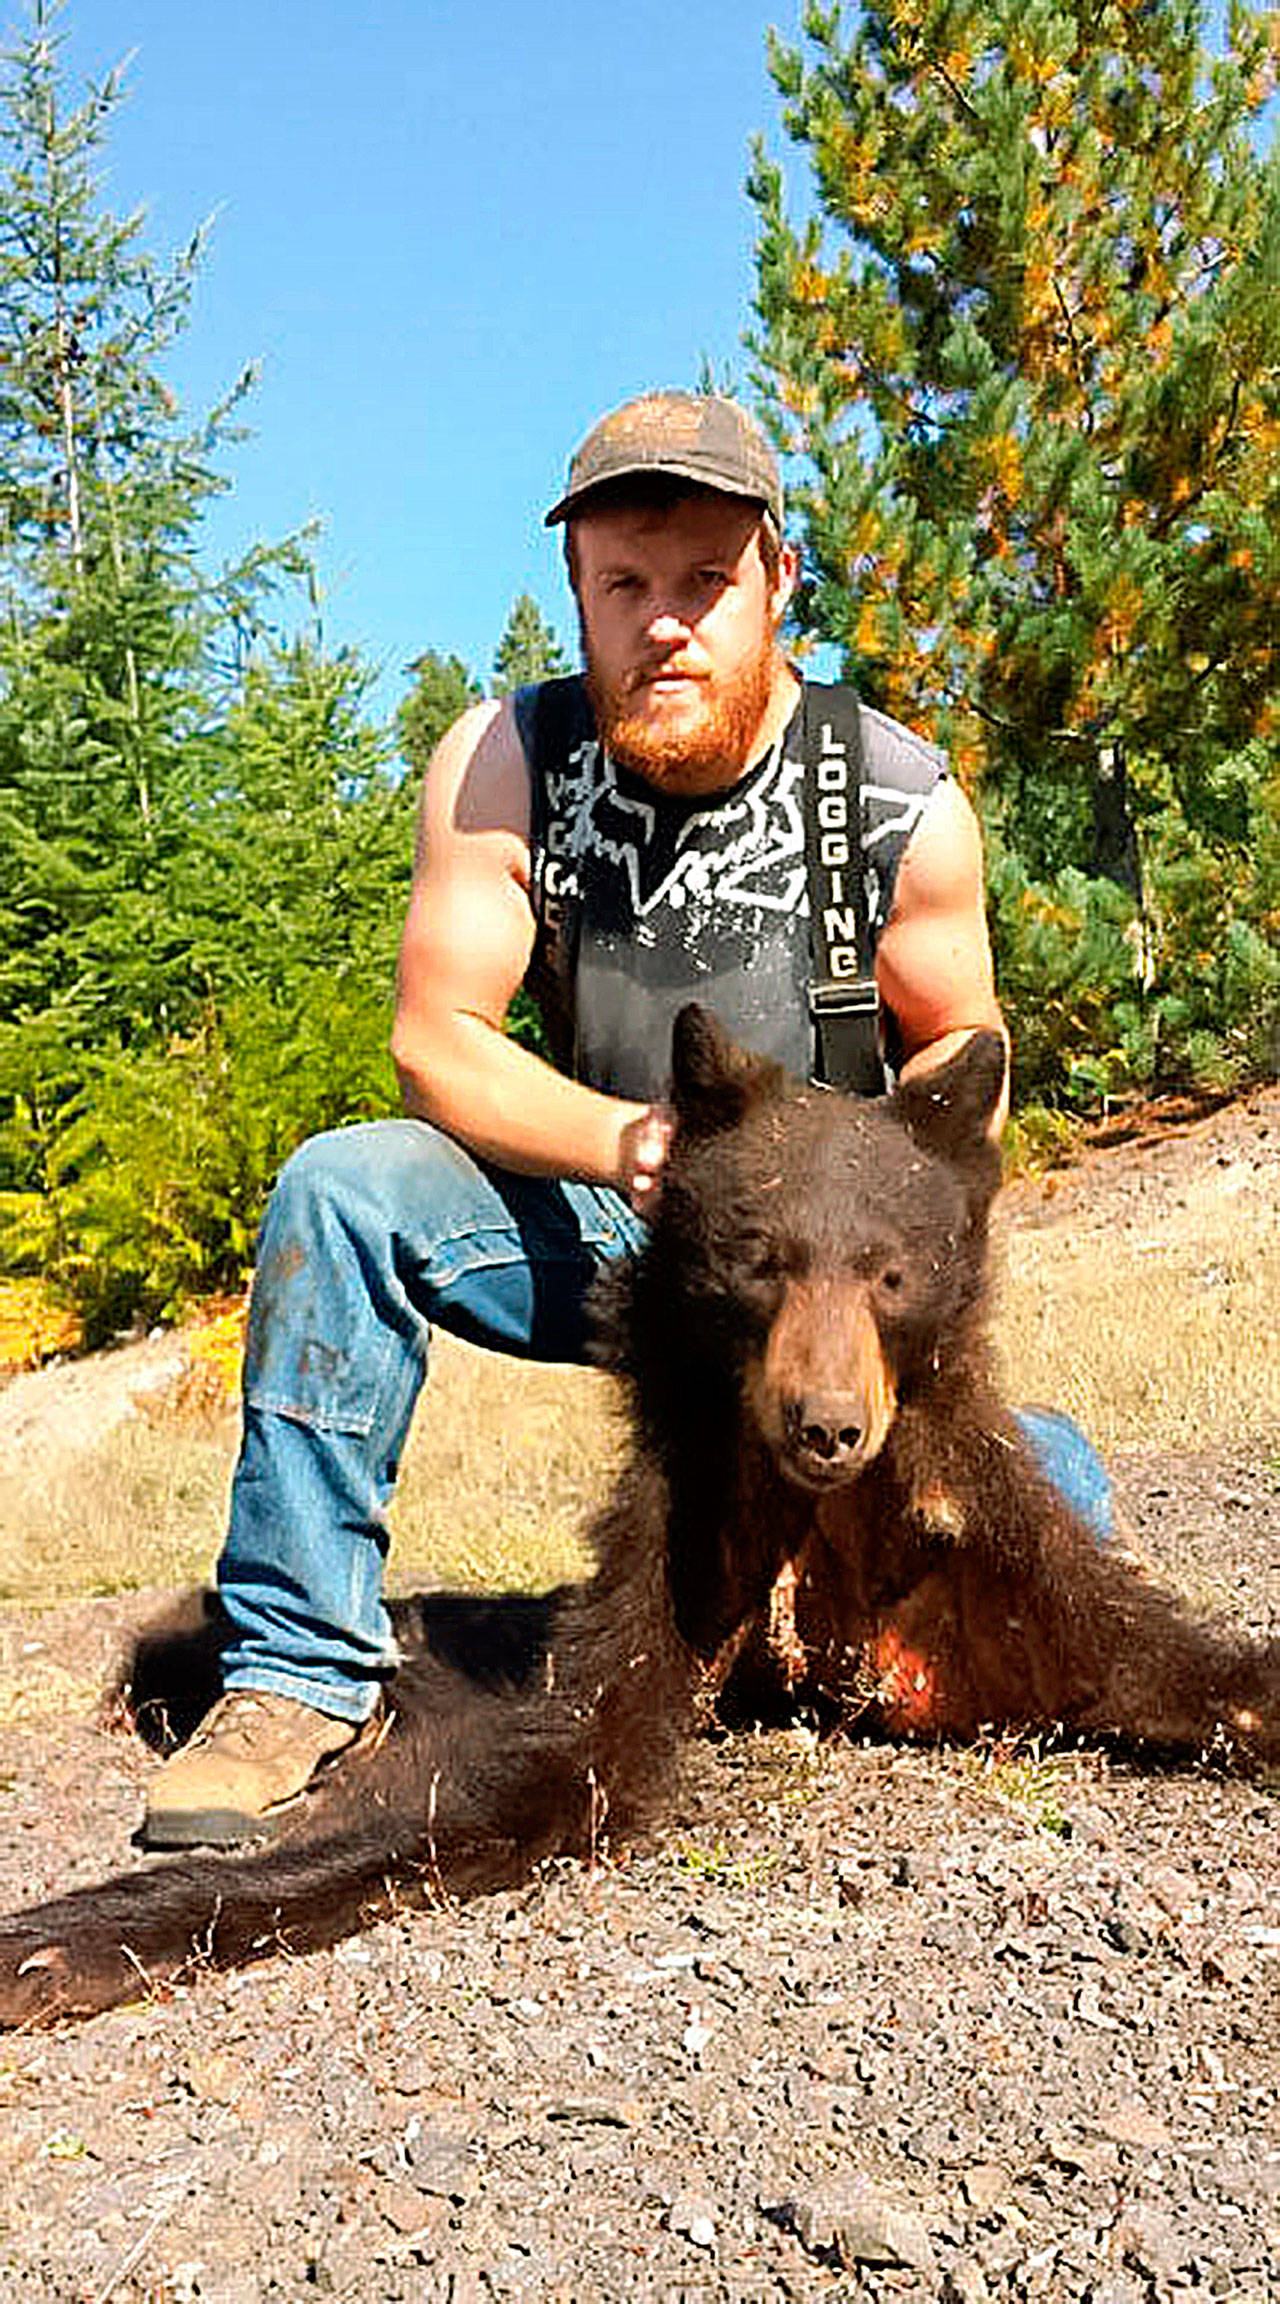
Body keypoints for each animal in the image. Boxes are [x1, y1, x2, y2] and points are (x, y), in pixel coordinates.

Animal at [0, 1004, 1276, 2029]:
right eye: (759, 1260)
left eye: (889, 1271)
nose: (827, 1426)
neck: (815, 1524)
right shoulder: (678, 1561)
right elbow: (522, 1794)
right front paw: (62, 1941)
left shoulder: (974, 1554)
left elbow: (1165, 1663)